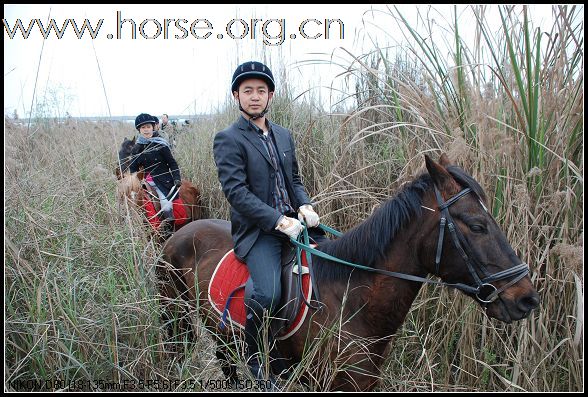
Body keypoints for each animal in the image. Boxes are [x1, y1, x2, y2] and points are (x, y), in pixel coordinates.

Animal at [158, 154, 540, 390]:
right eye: (477, 226)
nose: (526, 299)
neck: (351, 300)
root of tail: (181, 233)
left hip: (221, 333)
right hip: (177, 319)